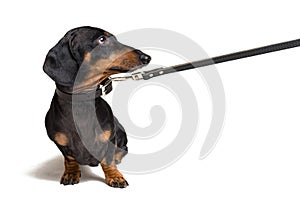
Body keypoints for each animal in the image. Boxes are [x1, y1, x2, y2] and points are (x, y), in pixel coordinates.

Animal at [43, 26, 151, 188]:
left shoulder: (110, 139)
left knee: (123, 149)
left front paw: (115, 176)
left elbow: (108, 159)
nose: (147, 57)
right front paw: (71, 173)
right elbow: (69, 159)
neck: (81, 102)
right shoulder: (61, 143)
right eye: (102, 39)